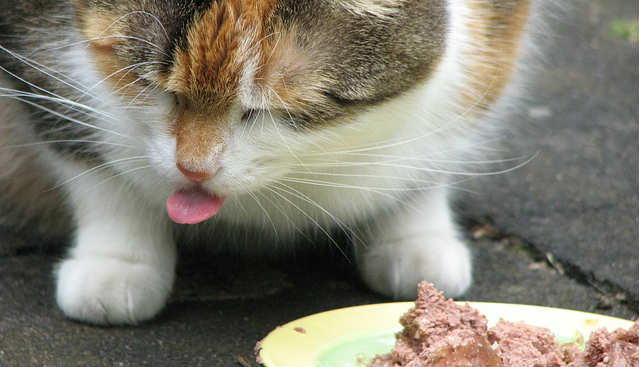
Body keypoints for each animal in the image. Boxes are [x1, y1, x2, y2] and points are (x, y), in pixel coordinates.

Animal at [0, 1, 528, 326]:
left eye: (263, 110)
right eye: (152, 85)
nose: (193, 168)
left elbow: (448, 126)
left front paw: (416, 240)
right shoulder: (37, 44)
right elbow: (91, 161)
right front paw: (117, 263)